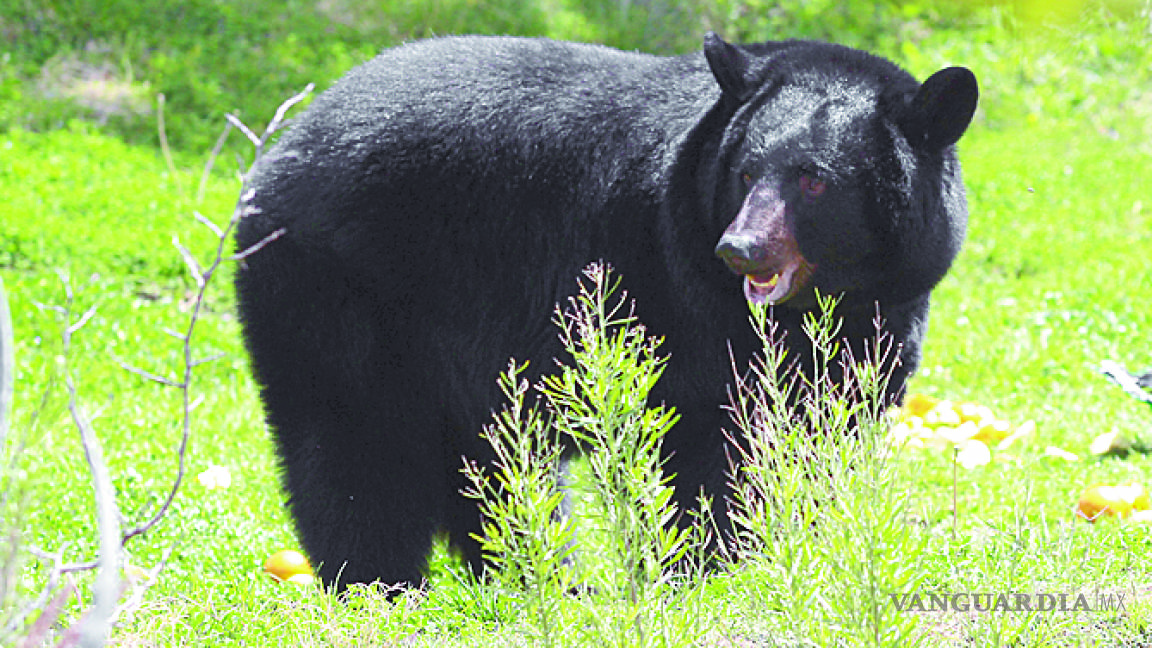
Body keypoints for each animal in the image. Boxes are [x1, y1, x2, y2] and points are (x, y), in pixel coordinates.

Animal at [236, 31, 981, 585]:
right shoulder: (677, 287)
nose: (739, 248)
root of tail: (278, 154)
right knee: (356, 450)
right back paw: (380, 583)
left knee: (494, 466)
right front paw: (714, 566)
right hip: (341, 296)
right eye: (747, 171)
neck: (817, 303)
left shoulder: (888, 311)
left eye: (814, 179)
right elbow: (709, 438)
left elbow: (827, 431)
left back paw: (536, 578)